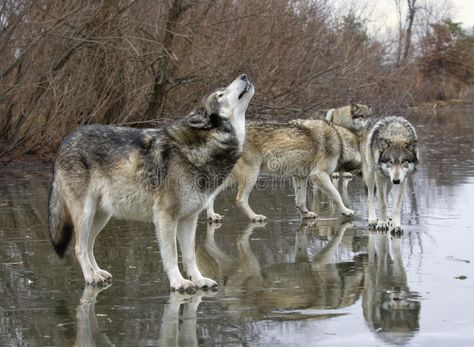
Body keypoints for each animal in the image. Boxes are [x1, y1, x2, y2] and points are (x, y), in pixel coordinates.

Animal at [48, 74, 254, 294]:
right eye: (221, 94)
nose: (244, 76)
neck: (205, 147)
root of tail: (64, 142)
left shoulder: (189, 218)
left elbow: (190, 256)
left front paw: (199, 280)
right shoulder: (166, 217)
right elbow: (172, 254)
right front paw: (178, 282)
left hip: (101, 216)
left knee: (88, 246)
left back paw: (99, 273)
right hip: (86, 214)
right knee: (79, 248)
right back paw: (90, 277)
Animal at [206, 119, 360, 223]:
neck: (340, 141)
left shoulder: (300, 177)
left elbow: (301, 200)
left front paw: (306, 214)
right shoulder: (319, 175)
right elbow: (337, 195)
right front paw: (346, 211)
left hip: (231, 178)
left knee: (211, 193)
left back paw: (212, 216)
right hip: (251, 175)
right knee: (240, 199)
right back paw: (255, 217)